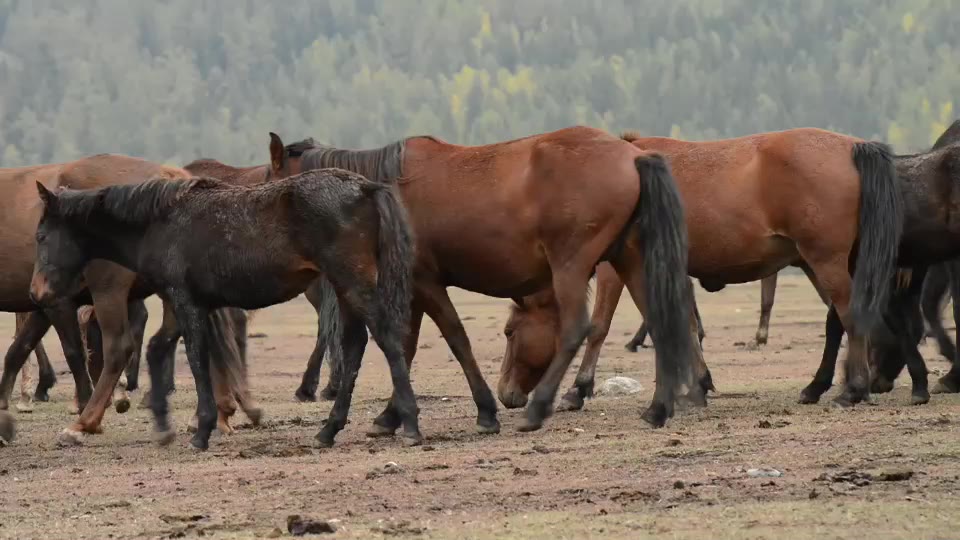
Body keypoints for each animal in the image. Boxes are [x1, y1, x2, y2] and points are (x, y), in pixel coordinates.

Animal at [30, 169, 418, 450]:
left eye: (41, 236)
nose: (36, 293)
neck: (160, 221)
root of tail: (366, 187)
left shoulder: (185, 301)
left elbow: (197, 360)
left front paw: (201, 431)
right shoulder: (191, 304)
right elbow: (169, 350)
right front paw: (169, 423)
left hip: (352, 283)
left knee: (387, 338)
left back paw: (410, 424)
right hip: (343, 289)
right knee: (354, 346)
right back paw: (328, 431)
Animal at [267, 126, 701, 433]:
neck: (379, 193)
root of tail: (635, 155)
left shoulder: (424, 282)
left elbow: (454, 338)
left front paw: (485, 410)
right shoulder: (413, 289)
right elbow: (407, 346)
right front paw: (391, 417)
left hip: (572, 266)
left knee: (577, 328)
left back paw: (538, 408)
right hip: (629, 261)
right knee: (661, 322)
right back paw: (658, 408)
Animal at [496, 127, 903, 412]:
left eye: (509, 331)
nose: (505, 395)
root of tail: (853, 147)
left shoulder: (616, 268)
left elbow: (599, 328)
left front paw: (577, 390)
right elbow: (687, 324)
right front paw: (697, 384)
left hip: (825, 261)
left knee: (850, 315)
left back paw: (853, 389)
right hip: (818, 263)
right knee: (838, 322)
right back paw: (823, 385)